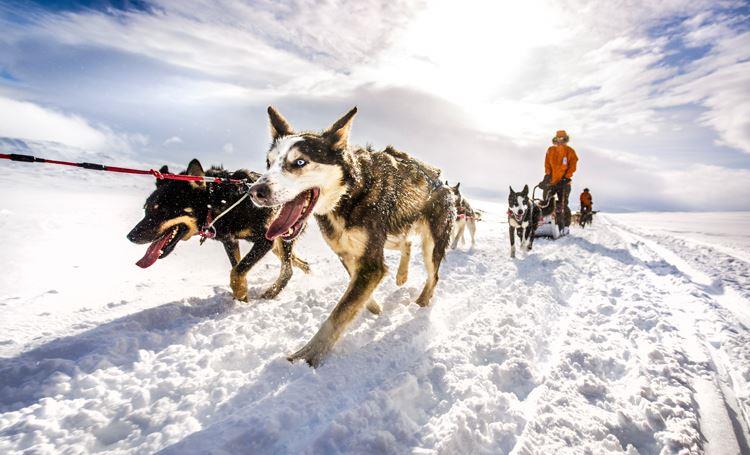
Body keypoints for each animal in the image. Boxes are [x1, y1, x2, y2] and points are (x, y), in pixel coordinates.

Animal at [128, 159, 310, 302]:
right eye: (146, 209)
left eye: (164, 211)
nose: (130, 236)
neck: (221, 202)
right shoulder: (230, 241)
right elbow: (236, 267)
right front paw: (242, 294)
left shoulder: (265, 240)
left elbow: (238, 270)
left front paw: (240, 292)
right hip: (277, 246)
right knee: (298, 263)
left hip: (282, 237)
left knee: (287, 270)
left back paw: (273, 292)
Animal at [250, 106, 456, 366]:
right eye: (268, 163)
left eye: (299, 162)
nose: (254, 191)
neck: (349, 194)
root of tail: (442, 182)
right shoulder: (347, 253)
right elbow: (355, 291)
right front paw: (374, 306)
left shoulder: (371, 263)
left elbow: (339, 313)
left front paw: (308, 356)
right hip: (390, 235)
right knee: (406, 243)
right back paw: (401, 276)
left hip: (431, 244)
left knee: (433, 275)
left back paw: (422, 301)